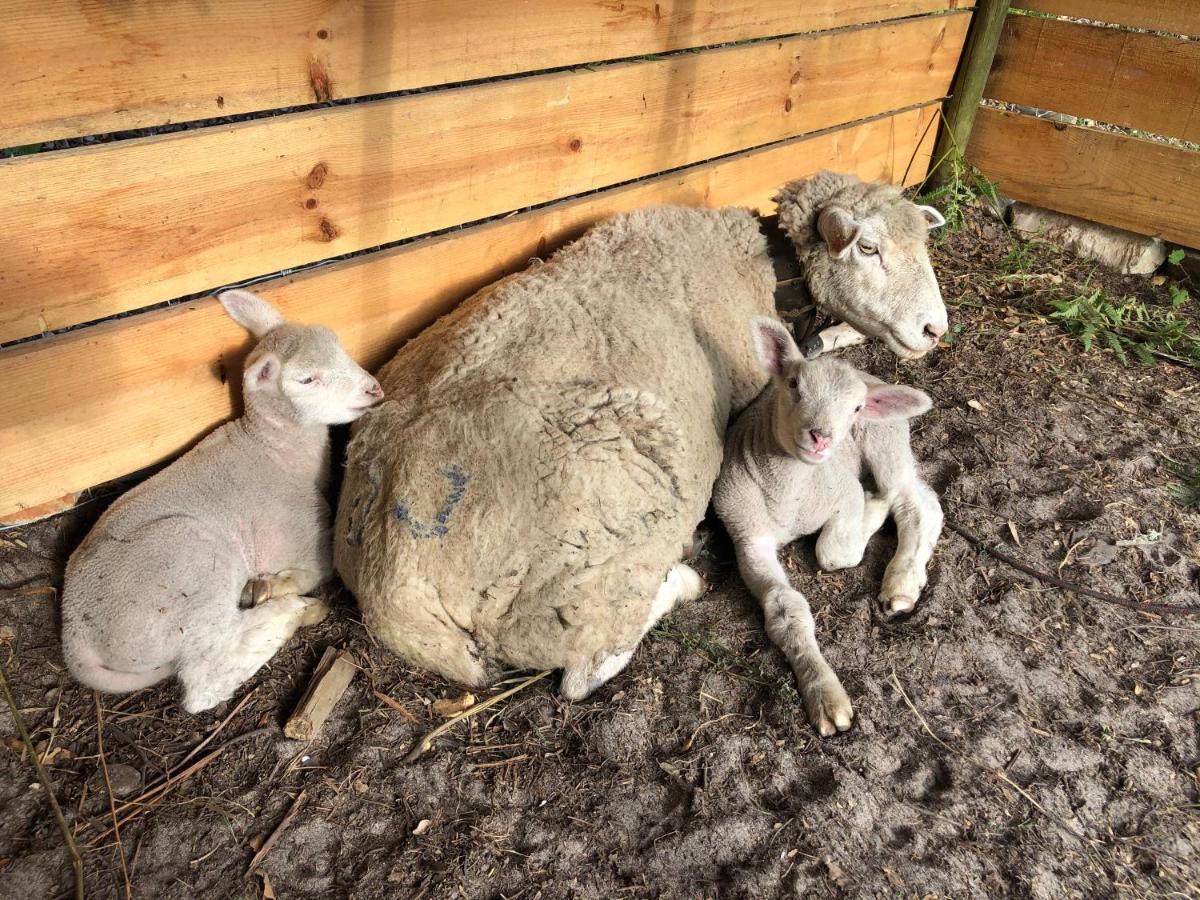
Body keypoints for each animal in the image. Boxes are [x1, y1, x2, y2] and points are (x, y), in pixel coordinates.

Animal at [60, 292, 384, 715]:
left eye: (338, 344)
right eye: (307, 380)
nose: (373, 390)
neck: (273, 448)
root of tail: (75, 639)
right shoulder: (296, 535)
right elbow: (324, 566)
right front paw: (280, 585)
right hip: (191, 569)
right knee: (206, 678)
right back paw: (290, 611)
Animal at [710, 321, 936, 734]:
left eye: (856, 408)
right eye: (793, 385)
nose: (821, 438)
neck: (788, 498)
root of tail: (872, 377)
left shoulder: (843, 489)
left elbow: (833, 554)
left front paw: (871, 511)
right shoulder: (747, 535)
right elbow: (786, 608)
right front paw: (824, 694)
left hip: (884, 441)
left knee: (913, 500)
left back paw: (900, 579)